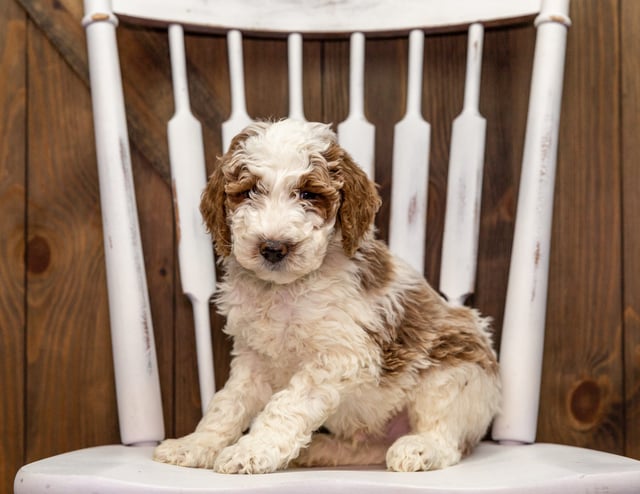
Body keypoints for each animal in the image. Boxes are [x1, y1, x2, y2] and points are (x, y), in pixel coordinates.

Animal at [154, 118, 500, 474]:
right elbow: (227, 404)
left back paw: (418, 448)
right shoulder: (253, 358)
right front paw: (195, 445)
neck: (284, 288)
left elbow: (286, 404)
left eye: (308, 194)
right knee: (367, 447)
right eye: (249, 191)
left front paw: (250, 451)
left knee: (446, 439)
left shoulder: (339, 356)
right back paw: (317, 450)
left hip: (454, 374)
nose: (273, 248)